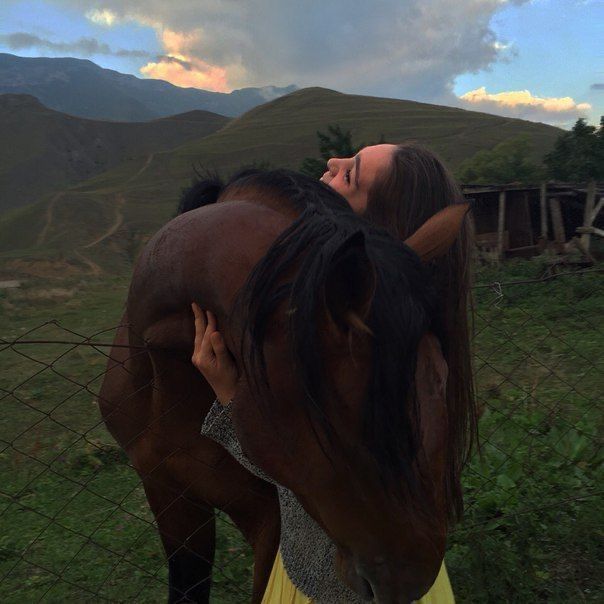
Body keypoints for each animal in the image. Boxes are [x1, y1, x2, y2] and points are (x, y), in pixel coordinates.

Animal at [98, 170, 468, 604]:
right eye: (337, 413)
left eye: (440, 379)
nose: (414, 579)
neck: (170, 381)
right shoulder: (169, 495)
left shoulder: (267, 520)